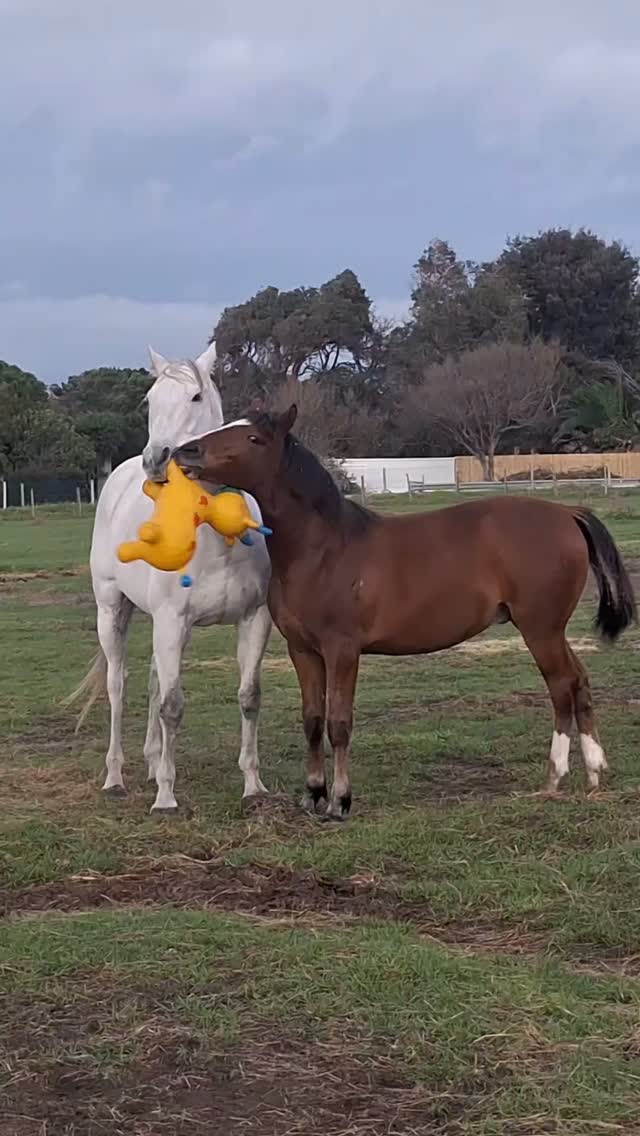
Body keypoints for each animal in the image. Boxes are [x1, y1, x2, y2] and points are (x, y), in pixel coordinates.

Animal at [66, 344, 272, 813]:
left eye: (196, 396)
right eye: (149, 401)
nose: (156, 460)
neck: (215, 538)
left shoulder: (254, 619)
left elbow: (248, 697)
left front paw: (253, 787)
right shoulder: (171, 621)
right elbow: (173, 706)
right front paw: (165, 797)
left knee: (154, 681)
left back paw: (151, 760)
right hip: (113, 610)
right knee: (118, 686)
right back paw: (116, 777)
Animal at [174, 406, 636, 819]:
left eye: (254, 438)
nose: (186, 451)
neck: (322, 549)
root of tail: (567, 513)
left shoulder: (342, 650)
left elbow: (339, 722)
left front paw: (340, 800)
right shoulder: (302, 651)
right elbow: (312, 720)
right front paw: (313, 794)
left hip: (540, 628)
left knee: (561, 686)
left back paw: (555, 776)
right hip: (553, 630)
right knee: (580, 681)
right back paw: (595, 772)